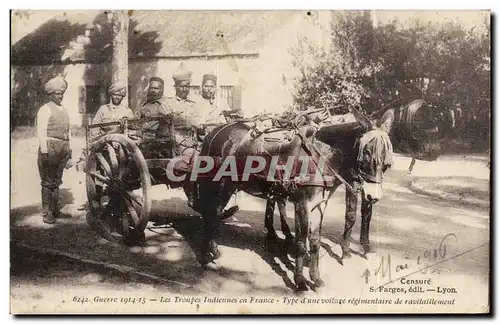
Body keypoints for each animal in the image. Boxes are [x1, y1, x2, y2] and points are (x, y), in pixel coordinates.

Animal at [195, 106, 394, 292]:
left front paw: (316, 279)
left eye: (387, 158)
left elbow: (315, 242)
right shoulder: (303, 204)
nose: (373, 196)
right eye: (367, 151)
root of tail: (214, 131)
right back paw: (207, 256)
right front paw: (300, 282)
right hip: (220, 185)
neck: (320, 156)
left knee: (214, 214)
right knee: (211, 214)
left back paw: (213, 251)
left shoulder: (319, 205)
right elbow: (300, 243)